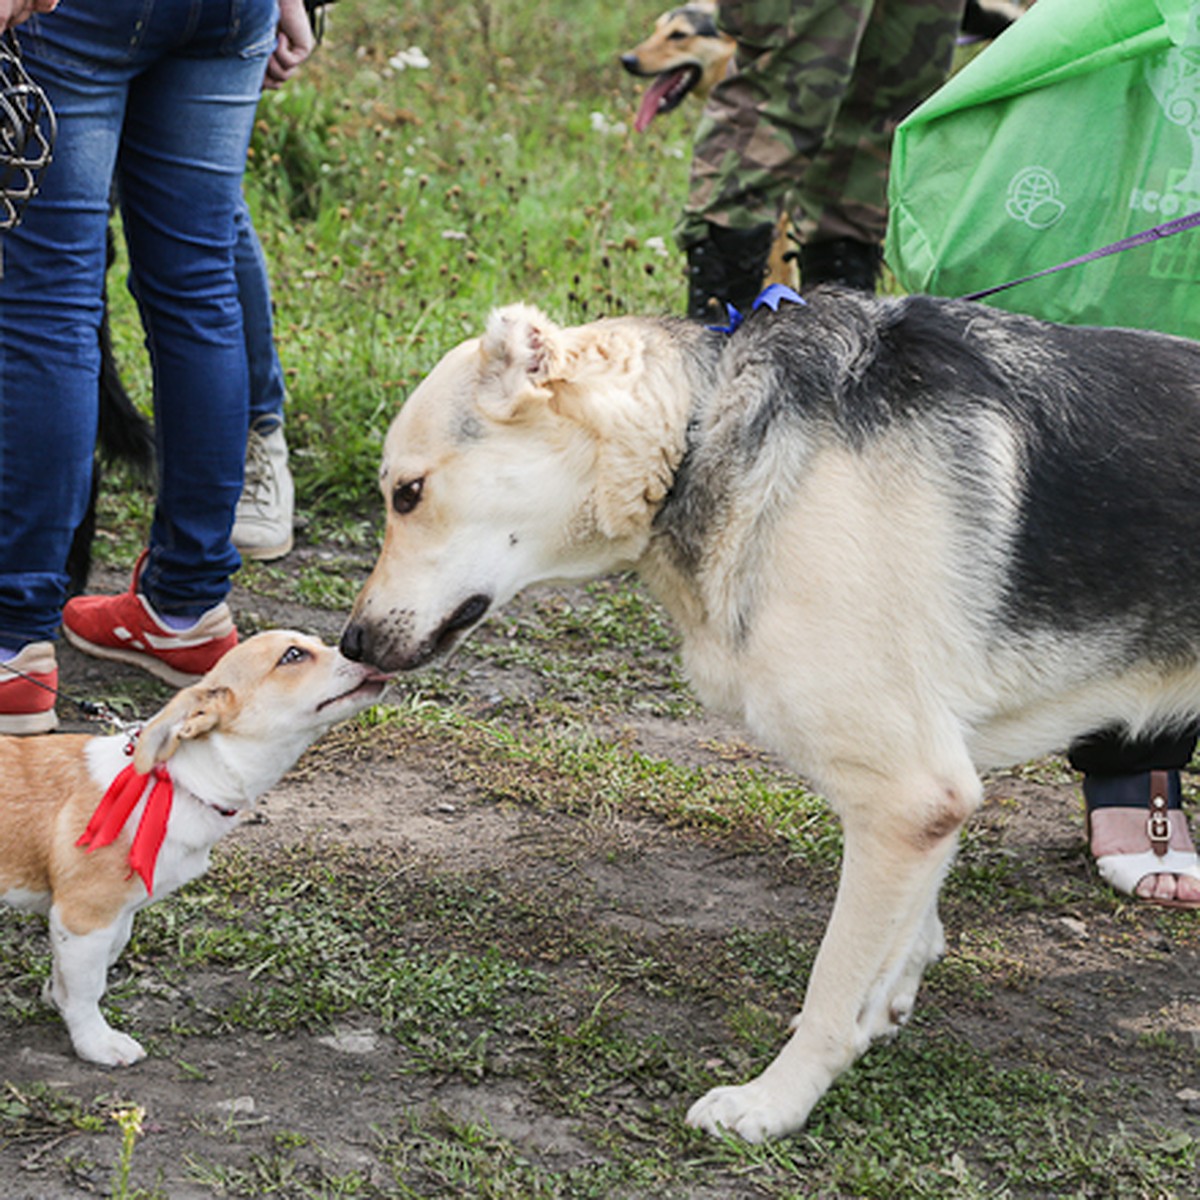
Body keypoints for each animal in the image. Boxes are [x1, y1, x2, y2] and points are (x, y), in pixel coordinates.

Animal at [0, 633, 384, 1065]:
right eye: (293, 655)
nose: (366, 651)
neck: (182, 781)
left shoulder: (112, 919)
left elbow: (90, 966)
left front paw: (56, 996)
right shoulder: (85, 917)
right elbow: (87, 990)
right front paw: (96, 1041)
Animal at [343, 290, 1200, 1142]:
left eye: (406, 494)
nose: (348, 642)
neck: (697, 429)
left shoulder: (907, 796)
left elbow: (832, 985)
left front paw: (776, 1101)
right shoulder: (932, 796)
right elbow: (907, 933)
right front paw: (884, 1007)